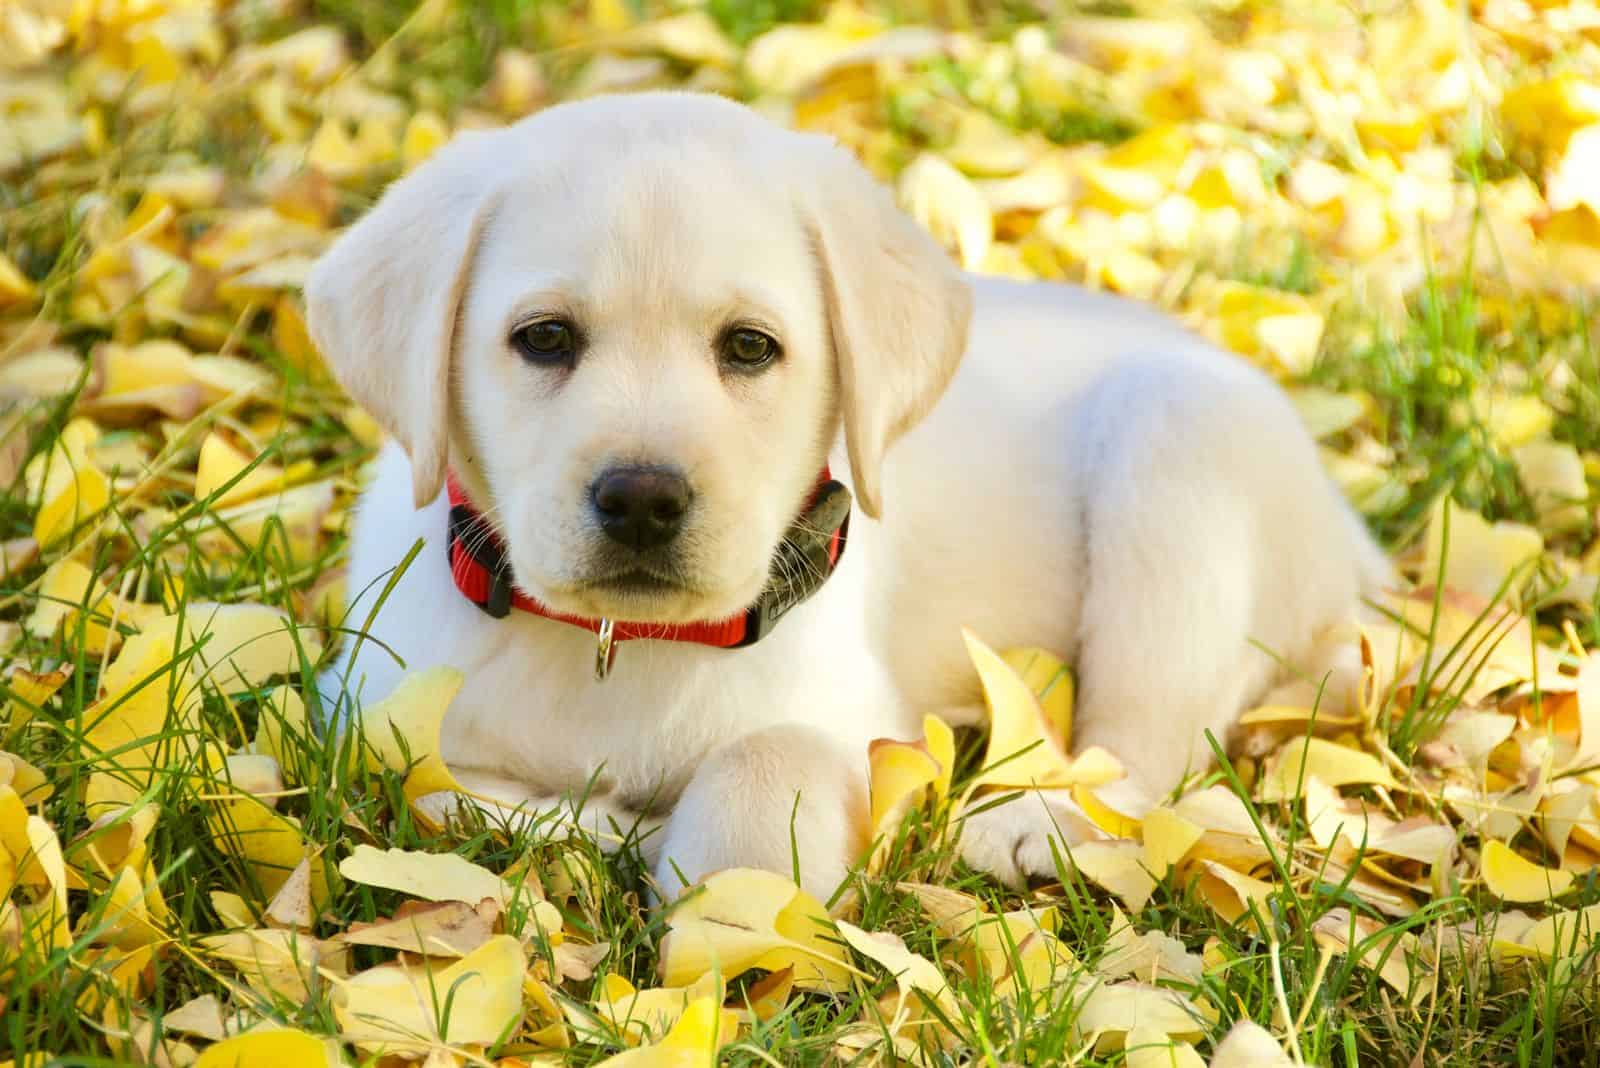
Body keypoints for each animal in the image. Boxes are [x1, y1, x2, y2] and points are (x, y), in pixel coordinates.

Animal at [308, 91, 1388, 895]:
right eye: (543, 339)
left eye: (750, 348)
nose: (643, 502)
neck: (624, 647)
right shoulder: (366, 714)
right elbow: (438, 790)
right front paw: (606, 825)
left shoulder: (862, 717)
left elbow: (761, 780)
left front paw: (724, 897)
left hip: (1182, 447)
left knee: (1144, 749)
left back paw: (1034, 822)